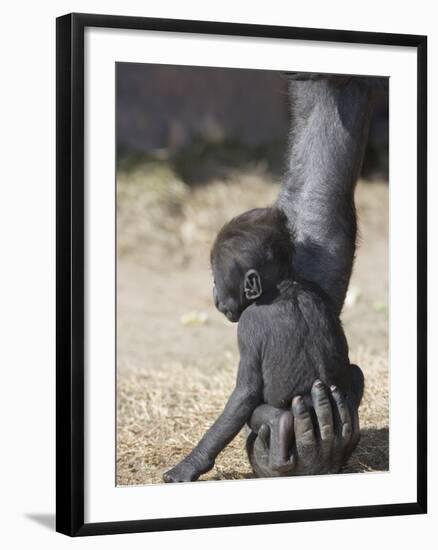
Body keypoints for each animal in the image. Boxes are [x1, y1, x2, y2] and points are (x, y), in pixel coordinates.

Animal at [163, 209, 362, 486]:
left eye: (217, 280)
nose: (214, 295)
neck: (281, 286)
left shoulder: (248, 324)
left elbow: (245, 393)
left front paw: (191, 464)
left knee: (262, 413)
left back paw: (281, 427)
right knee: (356, 373)